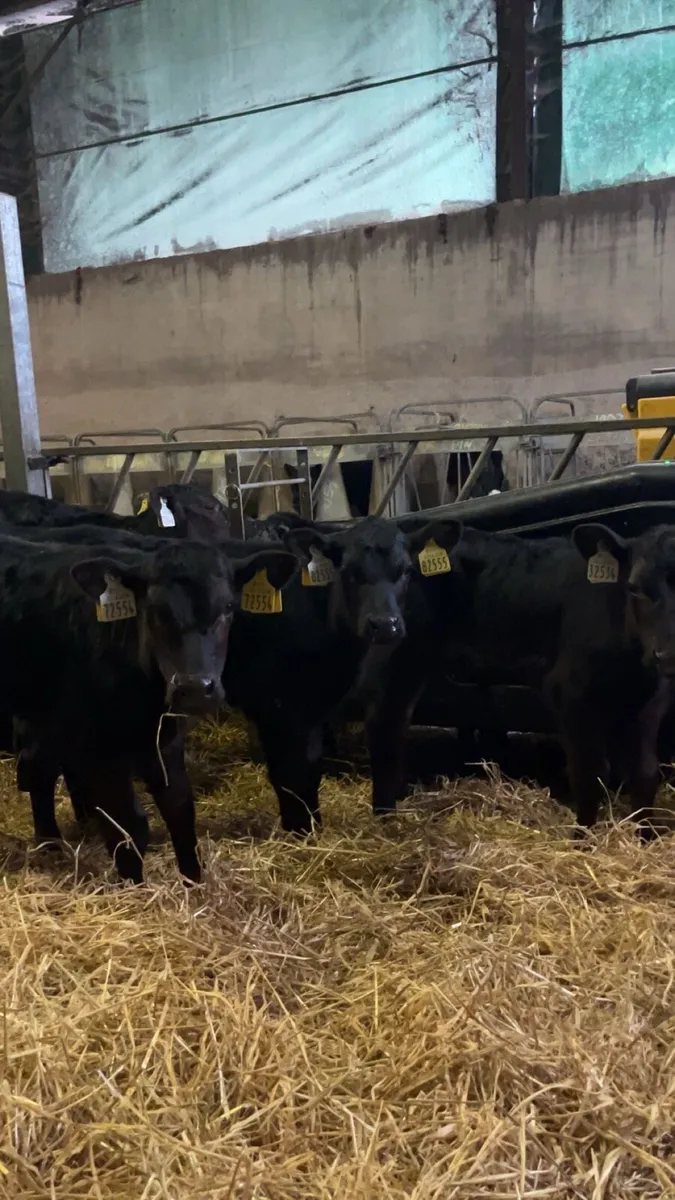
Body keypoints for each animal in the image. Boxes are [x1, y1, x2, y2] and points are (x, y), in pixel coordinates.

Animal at [0, 532, 297, 881]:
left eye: (228, 607)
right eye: (154, 610)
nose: (194, 689)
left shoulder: (165, 738)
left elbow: (179, 808)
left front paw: (193, 883)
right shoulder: (98, 750)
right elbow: (127, 826)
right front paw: (134, 886)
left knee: (37, 768)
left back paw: (50, 846)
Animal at [361, 520, 675, 838]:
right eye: (634, 587)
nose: (667, 654)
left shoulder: (651, 701)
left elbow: (645, 772)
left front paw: (646, 835)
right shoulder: (570, 693)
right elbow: (590, 774)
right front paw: (582, 838)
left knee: (396, 723)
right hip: (399, 653)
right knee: (383, 724)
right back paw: (384, 818)